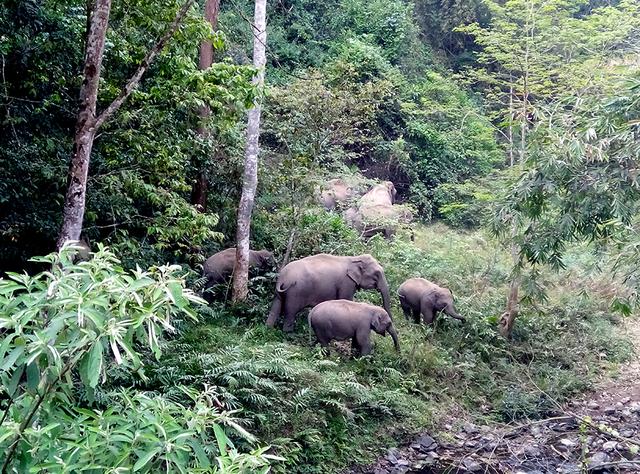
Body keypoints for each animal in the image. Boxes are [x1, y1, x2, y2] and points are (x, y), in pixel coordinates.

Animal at [264, 254, 392, 332]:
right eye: (377, 274)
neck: (353, 258)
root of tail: (282, 278)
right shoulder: (346, 283)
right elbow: (346, 298)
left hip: (280, 292)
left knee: (276, 306)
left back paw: (268, 329)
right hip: (295, 291)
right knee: (290, 311)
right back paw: (288, 334)